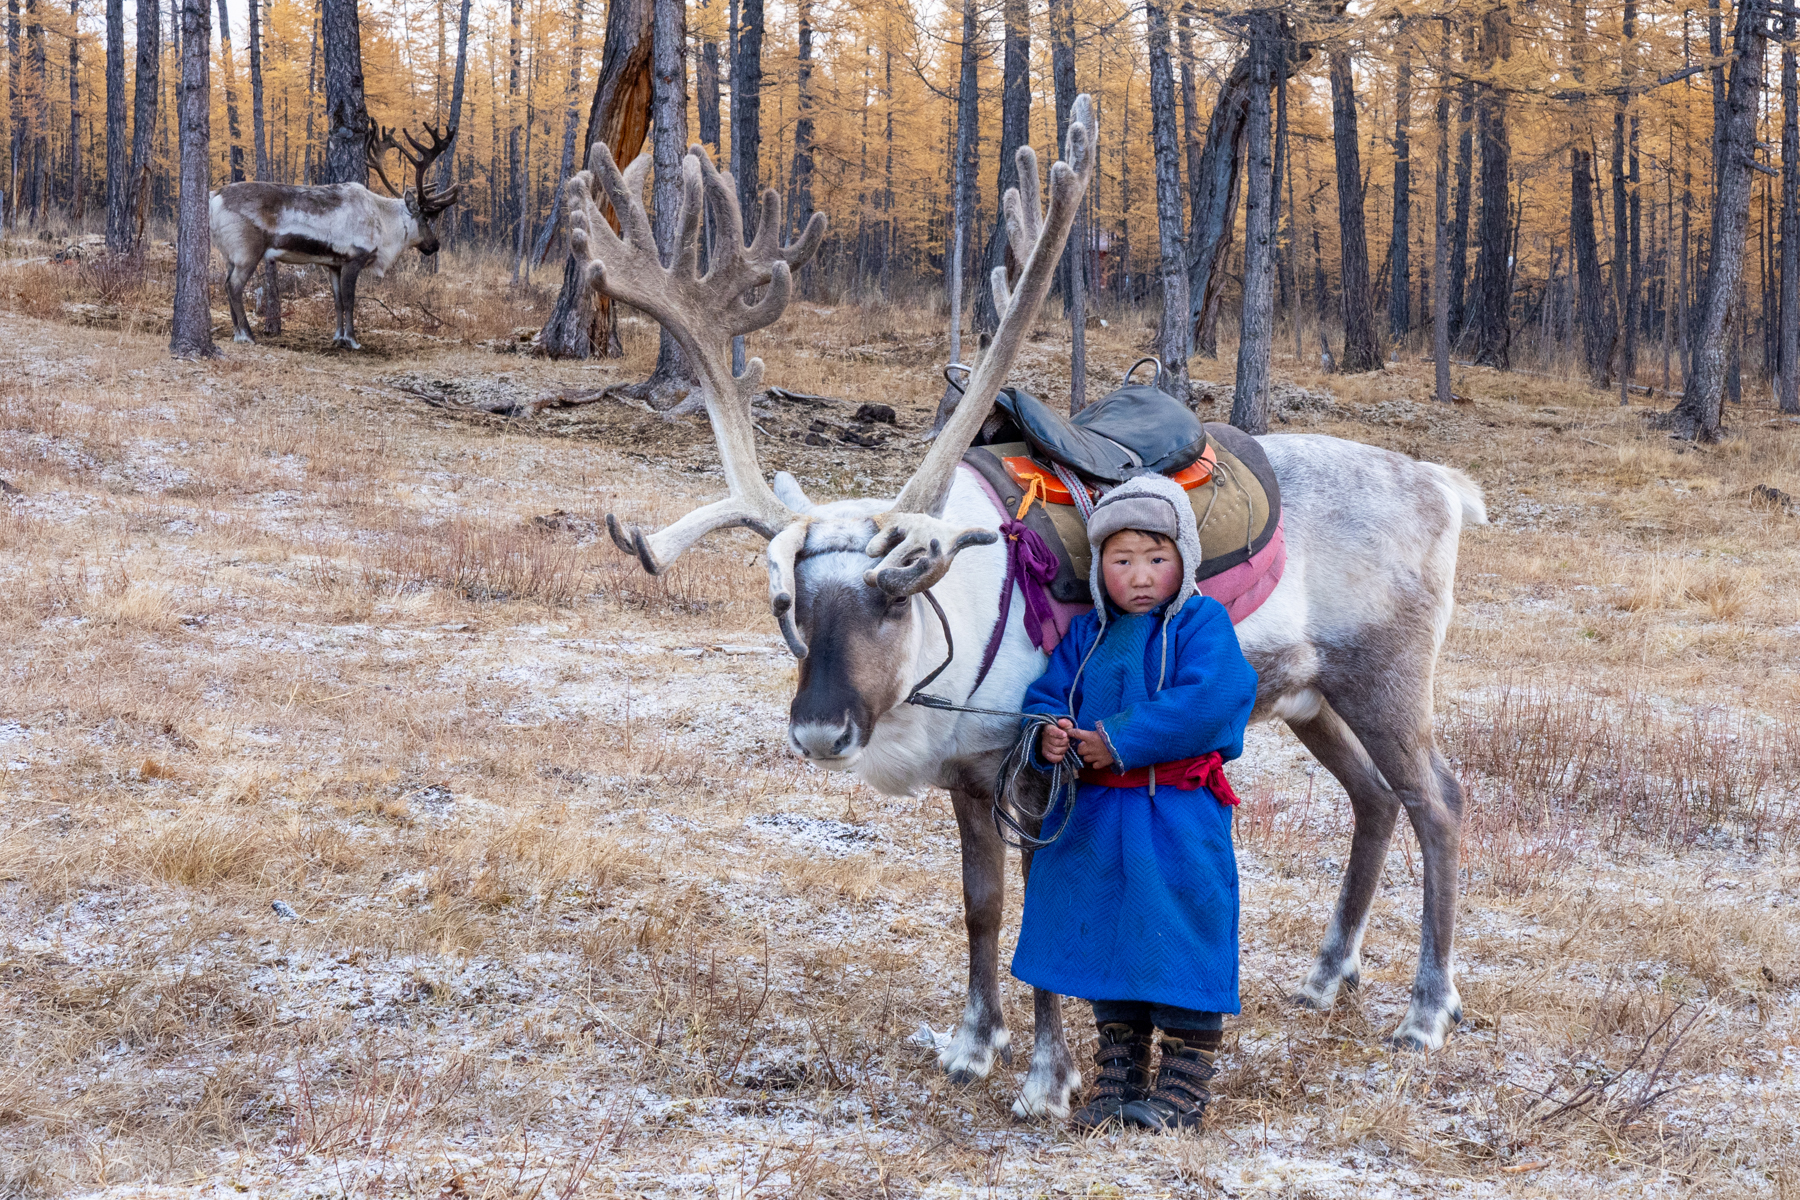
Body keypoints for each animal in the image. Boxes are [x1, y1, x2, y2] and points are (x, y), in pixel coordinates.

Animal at [209, 125, 460, 350]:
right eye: (426, 218)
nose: (435, 245)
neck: (383, 223)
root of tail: (214, 196)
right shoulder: (354, 259)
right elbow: (350, 301)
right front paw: (352, 340)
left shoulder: (333, 265)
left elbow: (338, 302)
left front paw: (338, 338)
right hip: (247, 252)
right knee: (234, 286)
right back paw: (247, 335)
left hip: (230, 255)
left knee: (225, 285)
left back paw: (236, 333)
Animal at [571, 98, 1487, 1119]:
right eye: (791, 601)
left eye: (899, 591)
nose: (818, 732)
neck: (957, 630)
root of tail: (1445, 486)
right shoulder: (971, 777)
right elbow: (982, 905)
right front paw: (975, 1043)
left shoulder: (1041, 760)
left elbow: (1039, 911)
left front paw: (1050, 1074)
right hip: (1308, 695)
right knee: (1373, 797)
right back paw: (1329, 976)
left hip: (1388, 674)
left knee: (1438, 800)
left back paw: (1427, 1011)